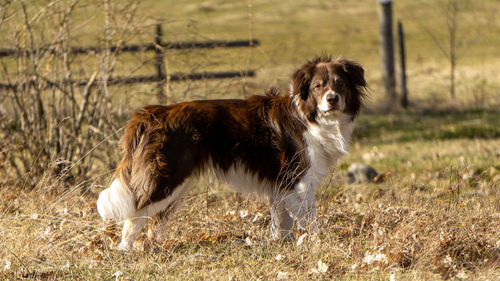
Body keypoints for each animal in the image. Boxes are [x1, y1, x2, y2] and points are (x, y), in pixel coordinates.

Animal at [96, 55, 368, 249]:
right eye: (318, 86)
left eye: (340, 84)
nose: (332, 99)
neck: (310, 116)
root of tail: (149, 113)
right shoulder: (299, 180)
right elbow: (310, 219)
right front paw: (318, 243)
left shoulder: (282, 184)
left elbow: (282, 220)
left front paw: (281, 244)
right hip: (167, 177)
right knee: (135, 215)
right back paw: (125, 250)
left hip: (179, 183)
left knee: (156, 221)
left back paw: (158, 248)